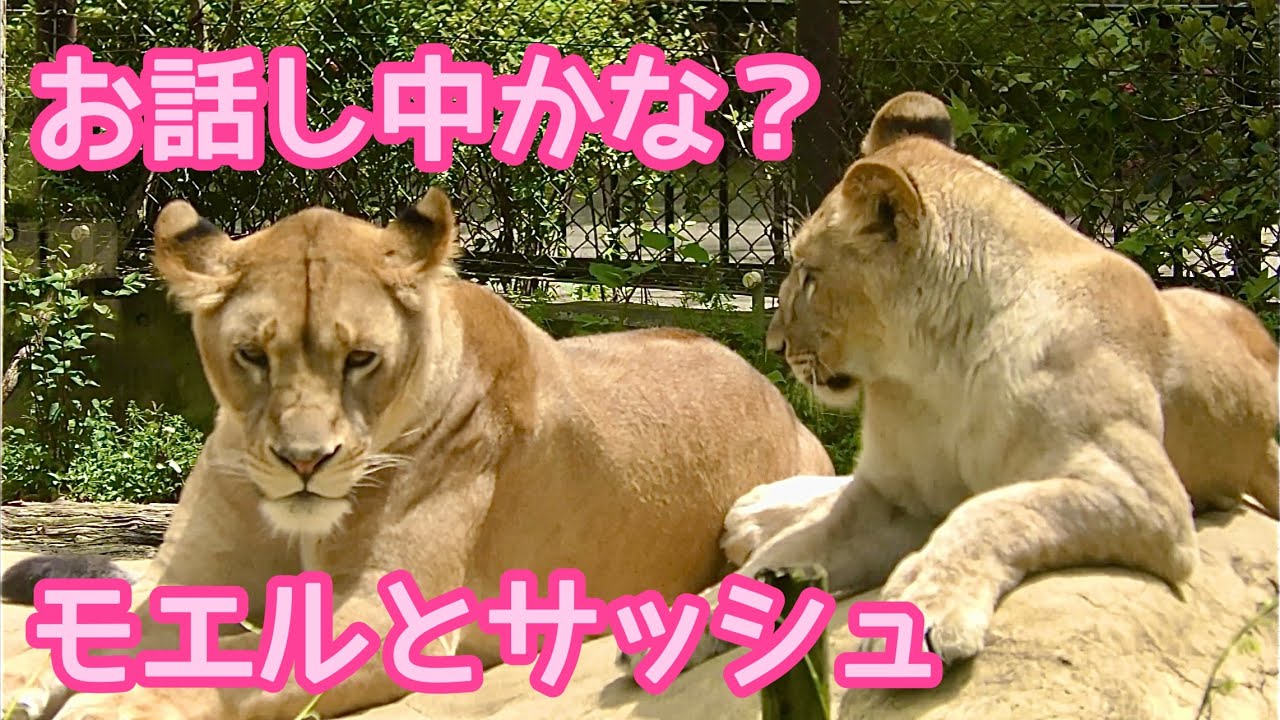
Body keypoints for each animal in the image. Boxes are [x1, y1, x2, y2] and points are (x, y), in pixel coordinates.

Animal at [2, 188, 834, 720]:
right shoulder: (187, 579)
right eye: (252, 356)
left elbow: (234, 665)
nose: (305, 461)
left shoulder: (386, 614)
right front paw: (38, 688)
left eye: (361, 359)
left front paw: (112, 704)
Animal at [631, 90, 1280, 675]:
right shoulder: (895, 497)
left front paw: (922, 608)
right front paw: (690, 620)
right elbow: (795, 547)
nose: (774, 347)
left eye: (810, 276)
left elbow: (992, 509)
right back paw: (759, 509)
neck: (931, 374)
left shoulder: (1144, 497)